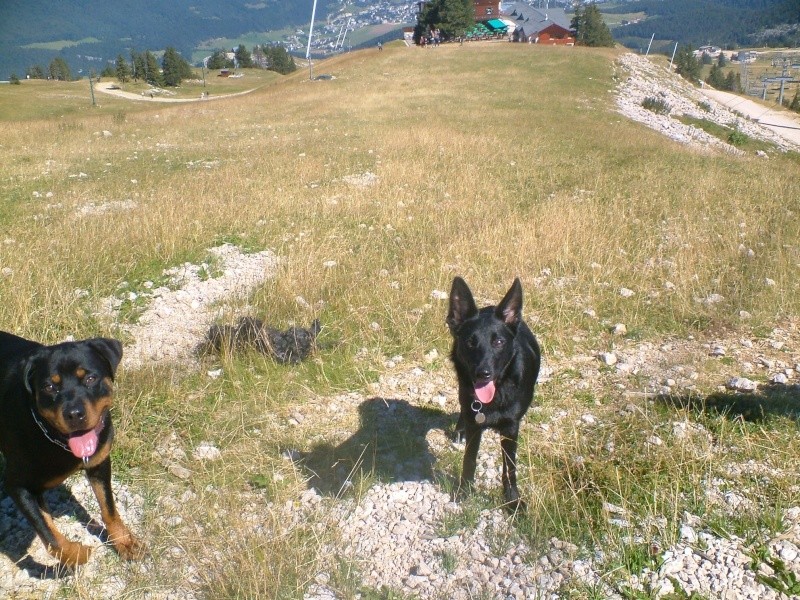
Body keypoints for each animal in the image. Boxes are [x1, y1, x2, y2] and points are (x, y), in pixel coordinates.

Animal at [0, 332, 142, 568]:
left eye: (90, 378)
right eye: (49, 387)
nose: (74, 413)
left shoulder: (99, 464)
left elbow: (109, 508)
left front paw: (124, 541)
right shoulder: (17, 485)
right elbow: (50, 537)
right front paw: (78, 553)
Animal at [446, 278, 540, 510]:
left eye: (498, 342)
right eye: (470, 342)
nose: (483, 373)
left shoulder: (511, 427)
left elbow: (510, 468)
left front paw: (513, 500)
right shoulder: (474, 423)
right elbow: (469, 460)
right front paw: (464, 491)